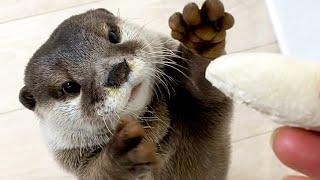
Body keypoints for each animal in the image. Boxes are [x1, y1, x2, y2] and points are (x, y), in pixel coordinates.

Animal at [19, 0, 235, 179]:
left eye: (113, 35)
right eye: (69, 87)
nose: (117, 72)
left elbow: (202, 82)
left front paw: (201, 38)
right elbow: (101, 173)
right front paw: (121, 156)